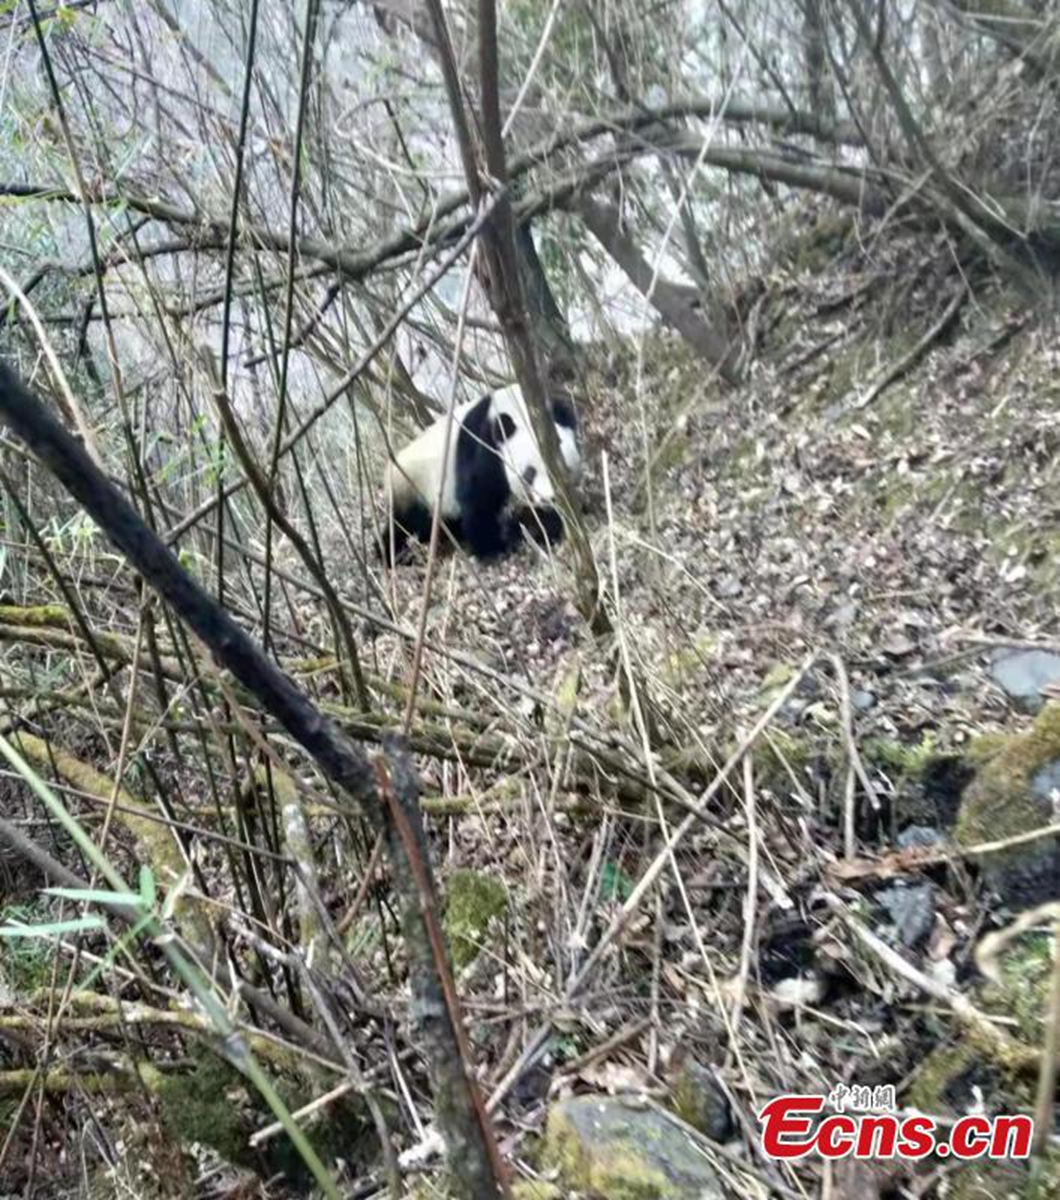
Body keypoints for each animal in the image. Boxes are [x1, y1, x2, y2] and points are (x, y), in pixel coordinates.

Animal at [379, 385, 582, 564]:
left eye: (561, 468)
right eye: (529, 474)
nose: (550, 498)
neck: (517, 408)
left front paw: (547, 526)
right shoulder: (483, 446)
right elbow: (478, 499)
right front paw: (493, 547)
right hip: (414, 488)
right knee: (404, 527)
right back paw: (390, 553)